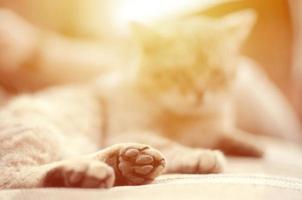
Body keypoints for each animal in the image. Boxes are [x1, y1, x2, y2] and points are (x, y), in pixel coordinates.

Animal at [0, 9, 260, 189]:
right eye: (179, 74)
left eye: (216, 74)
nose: (200, 93)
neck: (191, 119)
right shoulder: (130, 130)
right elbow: (171, 144)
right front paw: (199, 154)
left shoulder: (215, 128)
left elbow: (227, 135)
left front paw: (250, 145)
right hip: (41, 131)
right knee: (12, 176)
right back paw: (86, 171)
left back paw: (125, 164)